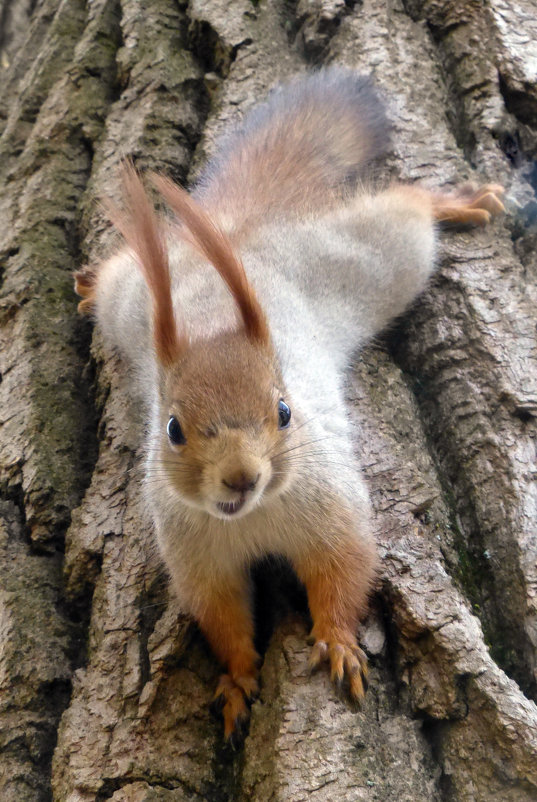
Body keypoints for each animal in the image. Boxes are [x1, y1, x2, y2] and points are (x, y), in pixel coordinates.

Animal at [74, 67, 502, 736]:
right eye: (172, 428)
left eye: (283, 411)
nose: (240, 477)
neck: (251, 518)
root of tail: (238, 232)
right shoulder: (198, 561)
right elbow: (224, 620)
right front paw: (238, 679)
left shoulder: (332, 507)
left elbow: (344, 569)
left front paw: (339, 642)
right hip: (132, 299)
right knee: (120, 268)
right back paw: (91, 281)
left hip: (369, 261)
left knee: (405, 211)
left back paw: (453, 202)